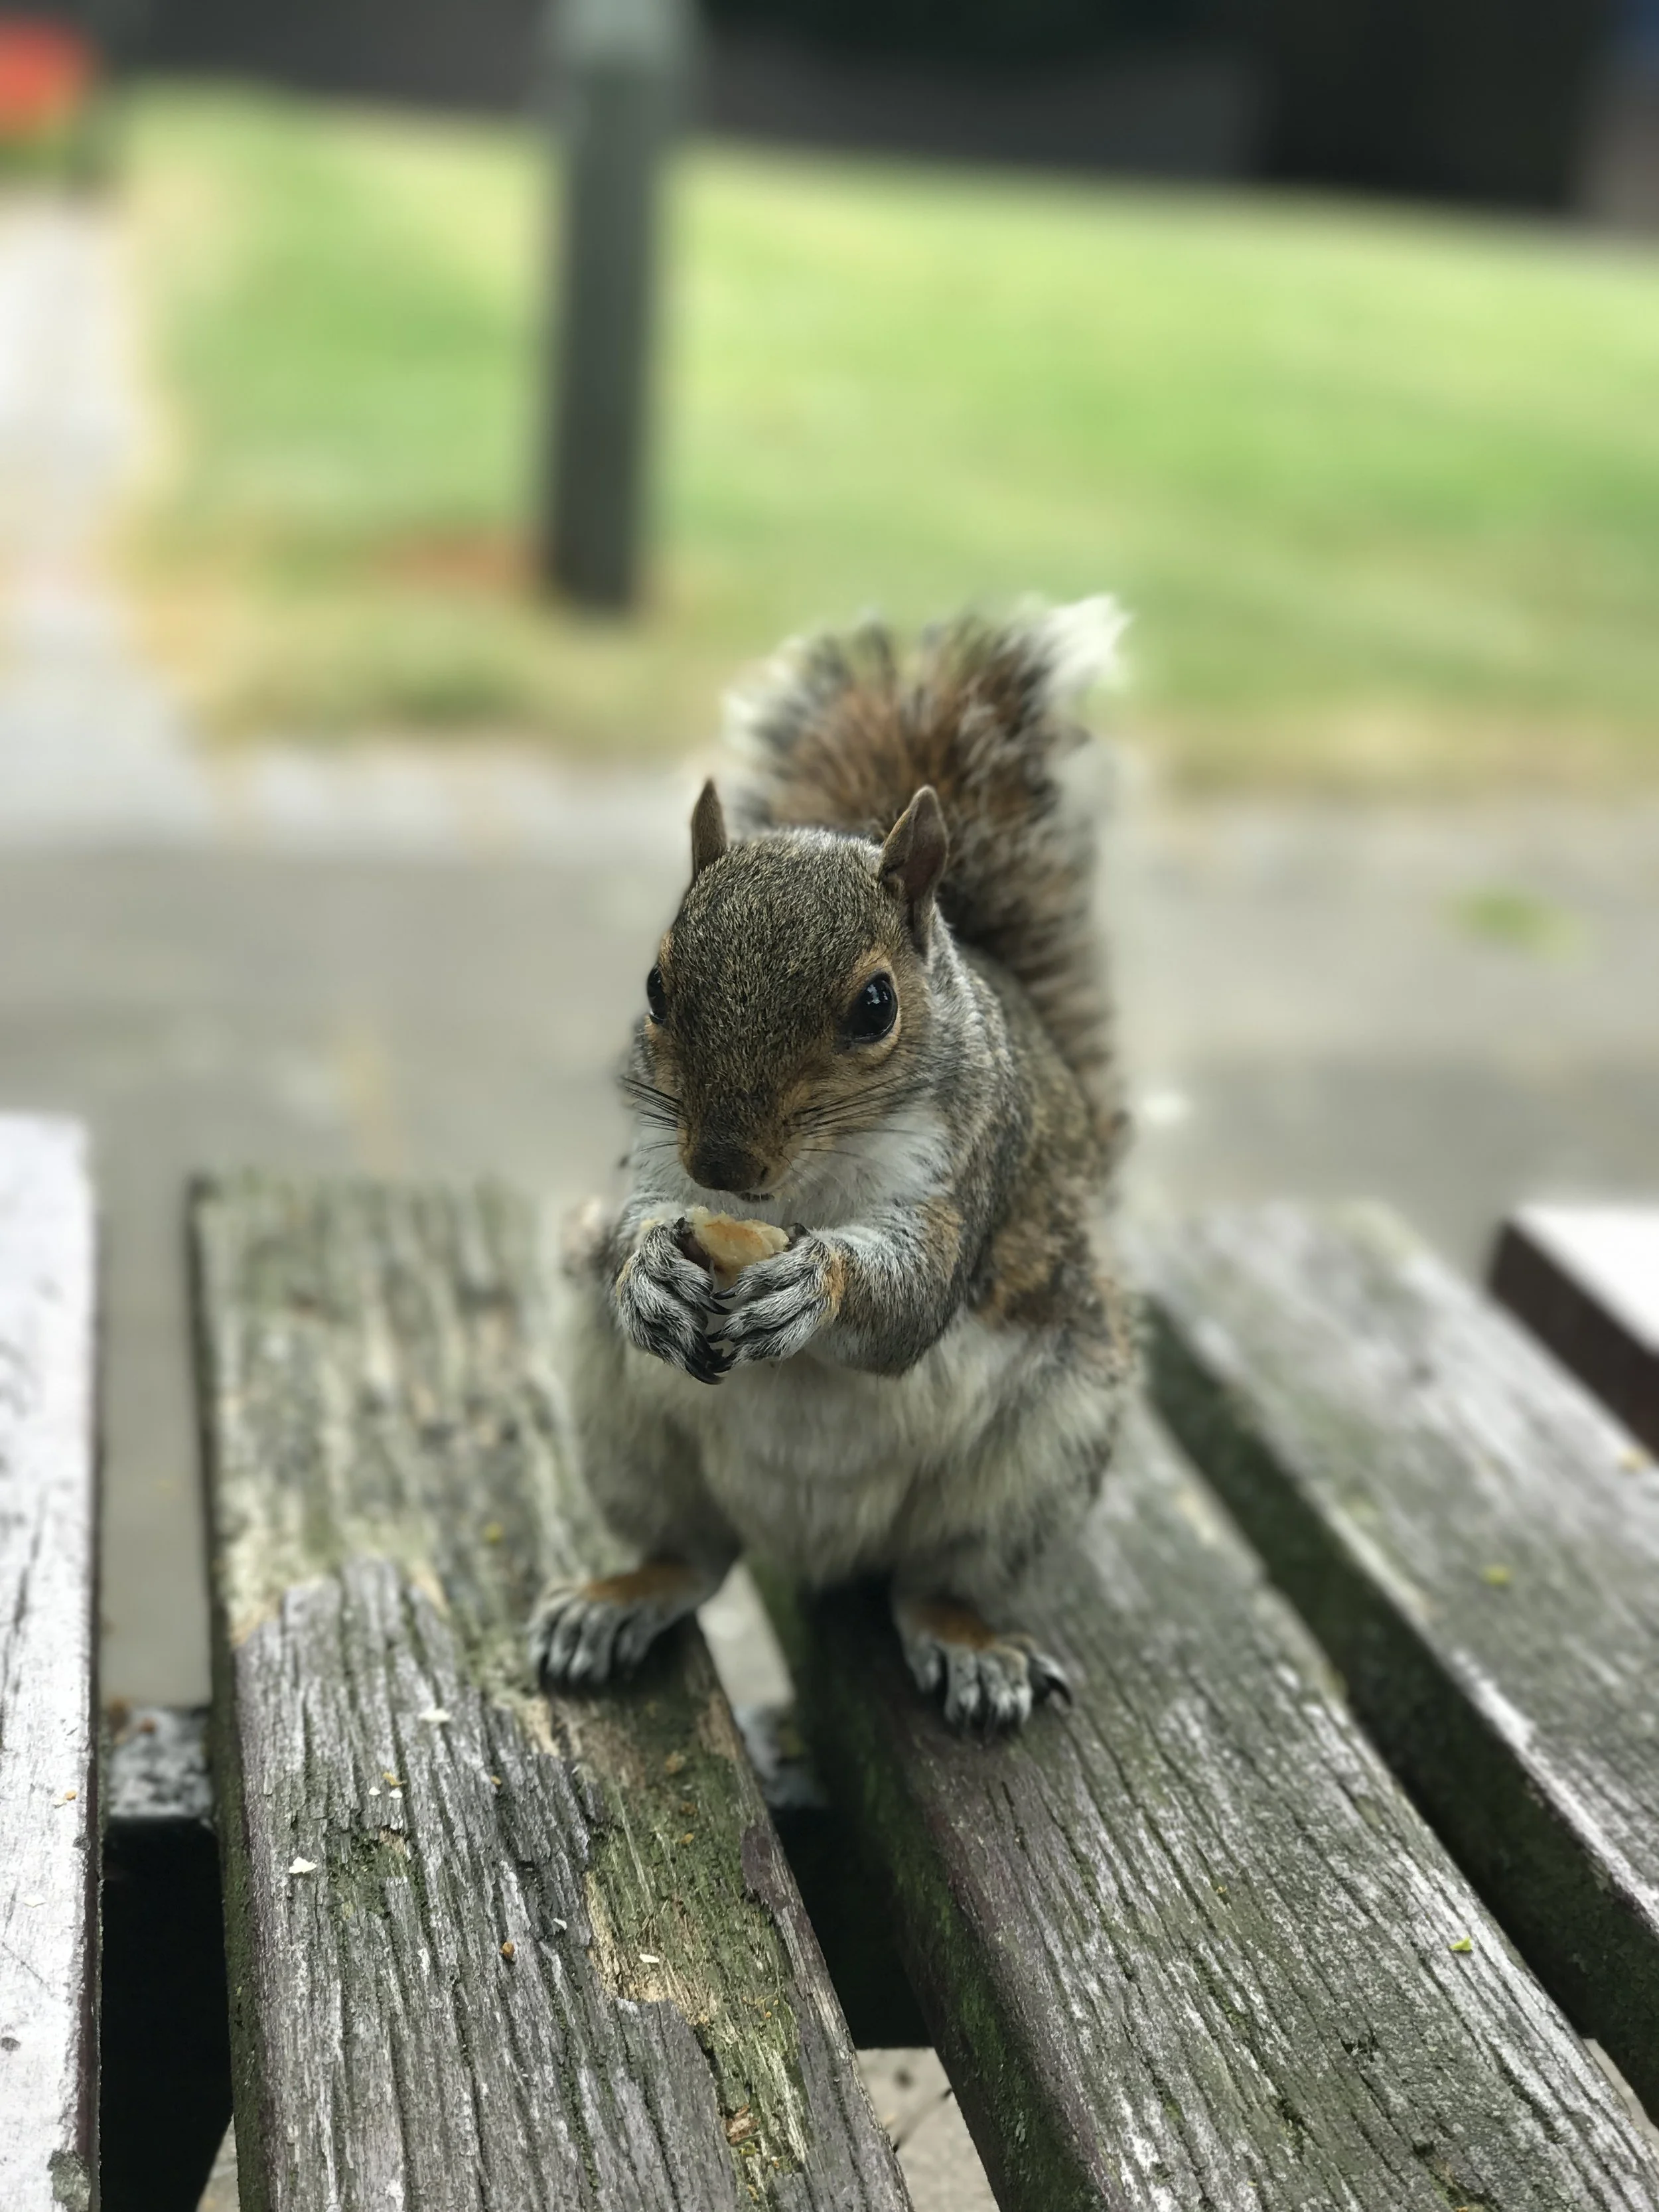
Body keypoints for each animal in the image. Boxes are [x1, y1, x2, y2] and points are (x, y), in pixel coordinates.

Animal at [530, 601, 1137, 1731]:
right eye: (654, 986)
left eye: (875, 1006)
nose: (722, 1160)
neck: (799, 1188)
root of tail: (808, 1550)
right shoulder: (655, 1157)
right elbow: (640, 1219)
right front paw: (650, 1273)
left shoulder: (967, 1169)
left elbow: (913, 1300)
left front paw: (815, 1282)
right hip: (624, 1430)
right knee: (695, 1556)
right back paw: (621, 1595)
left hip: (1040, 1458)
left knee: (937, 1579)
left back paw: (968, 1641)